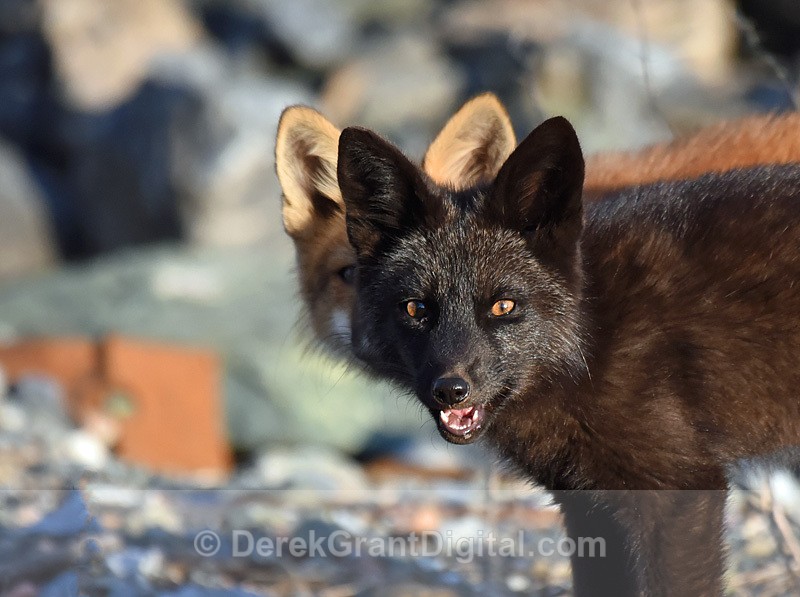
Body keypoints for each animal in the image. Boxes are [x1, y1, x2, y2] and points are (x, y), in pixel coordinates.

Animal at [334, 114, 800, 595]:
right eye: (415, 309)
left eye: (503, 306)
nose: (451, 390)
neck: (590, 340)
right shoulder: (589, 504)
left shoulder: (681, 491)